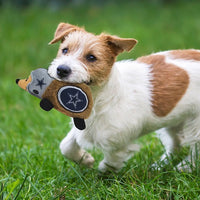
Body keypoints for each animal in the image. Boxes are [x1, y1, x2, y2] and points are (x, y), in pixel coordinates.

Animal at [48, 21, 200, 172]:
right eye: (65, 50)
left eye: (91, 57)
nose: (62, 69)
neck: (98, 97)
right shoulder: (83, 128)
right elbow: (66, 146)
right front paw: (85, 159)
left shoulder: (118, 144)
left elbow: (109, 164)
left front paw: (102, 174)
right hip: (174, 120)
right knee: (176, 143)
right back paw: (160, 166)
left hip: (195, 124)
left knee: (195, 149)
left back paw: (185, 167)